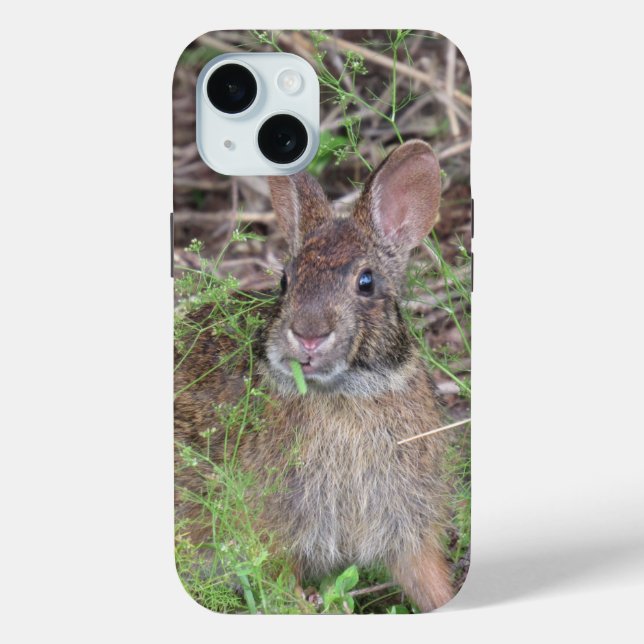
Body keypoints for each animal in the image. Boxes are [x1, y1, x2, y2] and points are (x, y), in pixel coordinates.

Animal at [174, 139, 454, 612]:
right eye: (285, 281)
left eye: (366, 282)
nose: (308, 335)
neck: (345, 394)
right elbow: (278, 578)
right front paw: (305, 605)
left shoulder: (406, 521)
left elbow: (426, 575)